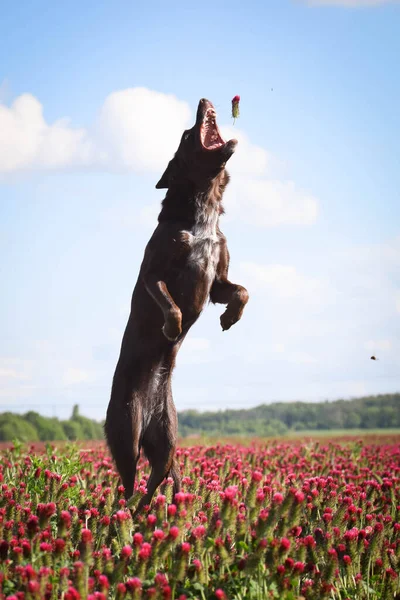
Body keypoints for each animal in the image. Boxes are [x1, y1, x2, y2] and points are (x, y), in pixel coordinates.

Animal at [105, 98, 250, 516]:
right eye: (187, 136)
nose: (204, 101)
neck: (203, 213)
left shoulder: (217, 281)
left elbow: (242, 291)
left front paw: (230, 317)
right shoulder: (154, 274)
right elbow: (172, 305)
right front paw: (173, 328)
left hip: (168, 438)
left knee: (158, 477)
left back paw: (156, 510)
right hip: (127, 431)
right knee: (130, 481)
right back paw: (130, 513)